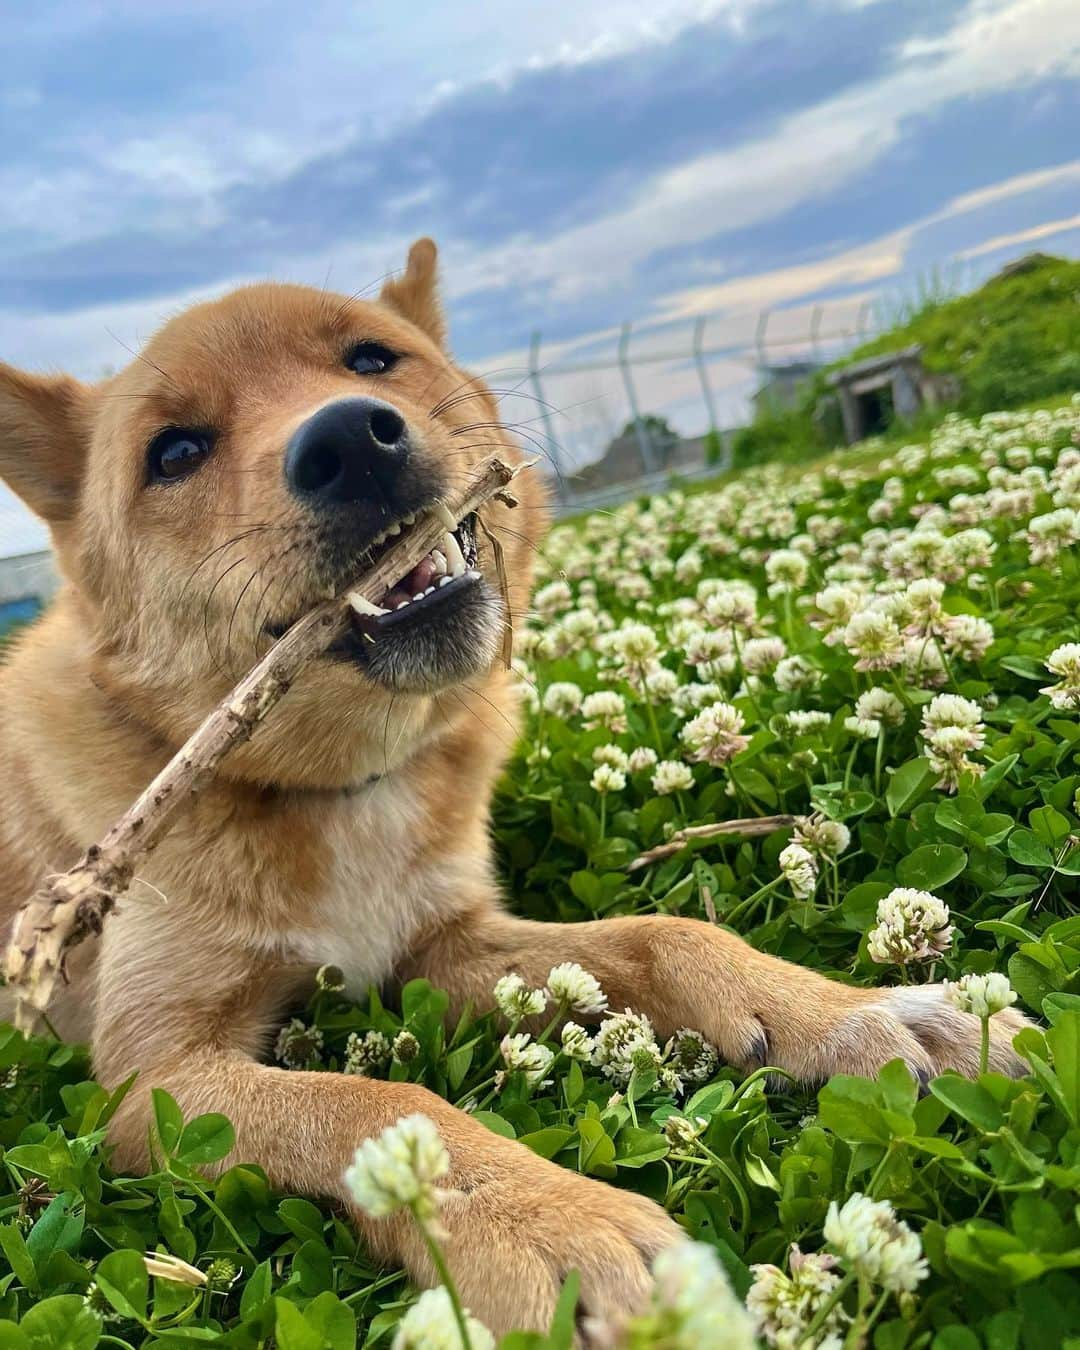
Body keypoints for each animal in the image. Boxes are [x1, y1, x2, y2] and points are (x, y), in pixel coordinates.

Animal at [0, 240, 1031, 1328]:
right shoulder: (147, 1076)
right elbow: (375, 1101)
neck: (341, 789)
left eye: (372, 359)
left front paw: (848, 1012)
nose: (350, 441)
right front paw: (547, 1224)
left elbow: (664, 935)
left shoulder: (442, 948)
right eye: (174, 452)